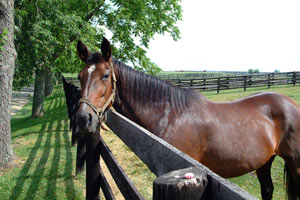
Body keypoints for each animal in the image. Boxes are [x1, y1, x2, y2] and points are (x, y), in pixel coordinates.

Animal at [75, 38, 300, 200]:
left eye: (105, 76)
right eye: (80, 76)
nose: (83, 118)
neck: (169, 115)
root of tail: (291, 104)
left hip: (295, 163)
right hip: (265, 161)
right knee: (267, 189)